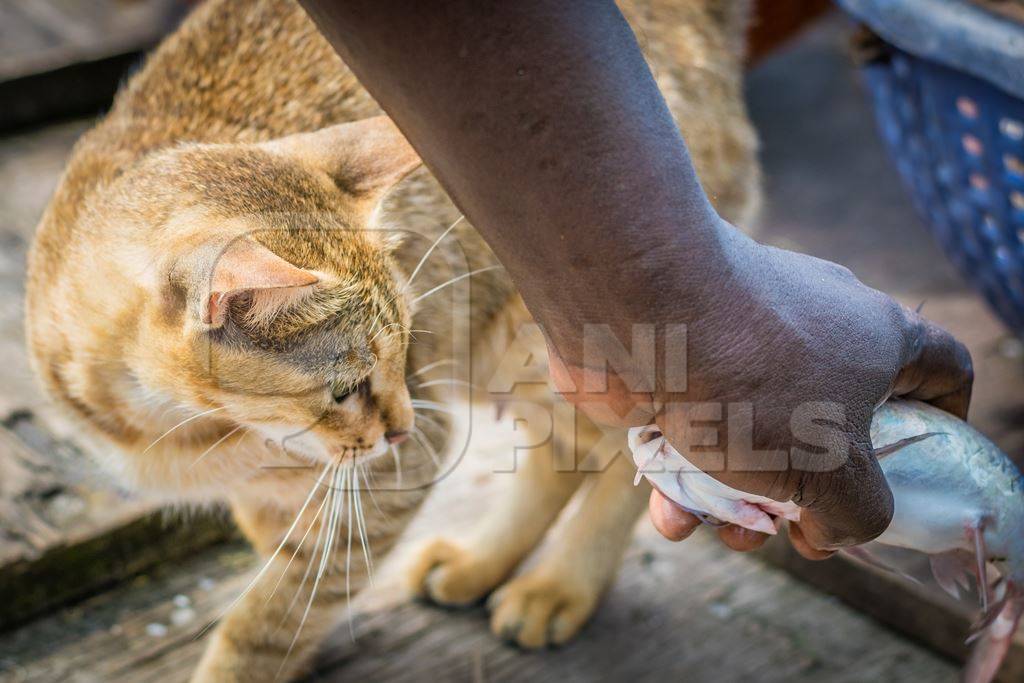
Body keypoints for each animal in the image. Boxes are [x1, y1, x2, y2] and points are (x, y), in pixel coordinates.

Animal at [25, 2, 761, 679]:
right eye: (345, 389)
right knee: (570, 446)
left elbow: (276, 610)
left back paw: (559, 585)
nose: (402, 426)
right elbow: (277, 550)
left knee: (645, 446)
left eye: (405, 348)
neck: (171, 428)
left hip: (552, 332)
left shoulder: (394, 468)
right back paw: (479, 565)